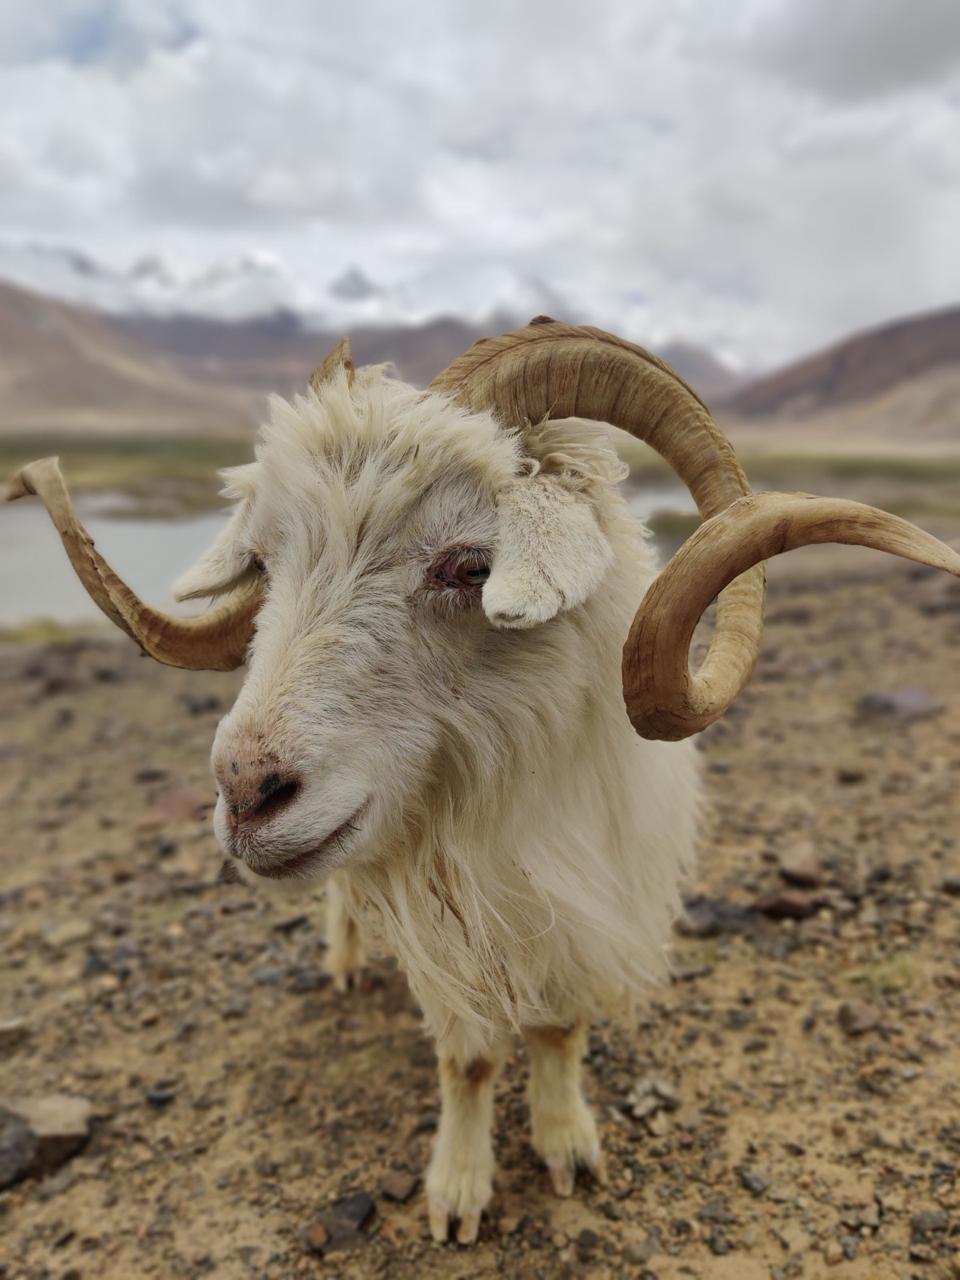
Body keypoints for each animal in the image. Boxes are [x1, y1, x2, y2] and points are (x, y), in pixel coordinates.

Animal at [9, 319, 960, 1243]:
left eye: (469, 566)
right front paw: (459, 1191)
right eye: (266, 566)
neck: (508, 805)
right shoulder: (449, 924)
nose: (246, 791)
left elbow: (559, 1029)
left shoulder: (580, 900)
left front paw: (567, 1145)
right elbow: (466, 1060)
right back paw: (345, 961)